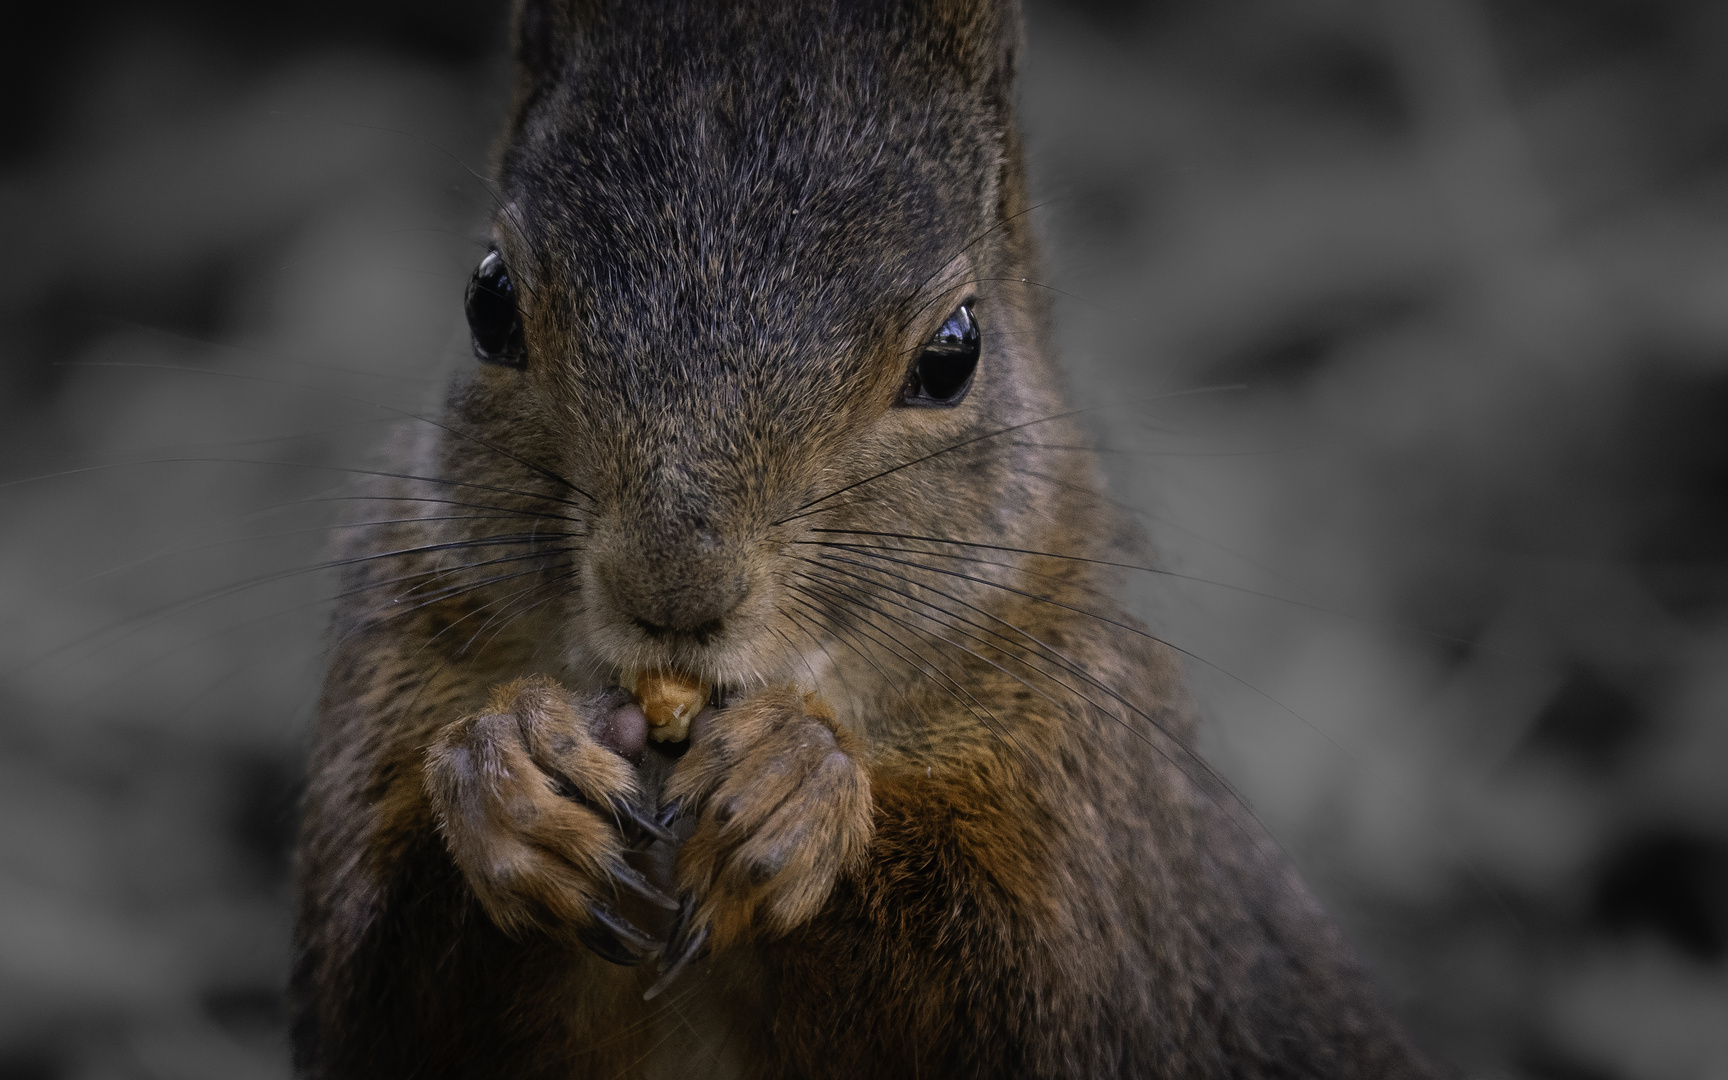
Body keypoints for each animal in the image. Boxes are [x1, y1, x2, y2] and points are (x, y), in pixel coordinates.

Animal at [290, 2, 1437, 1078]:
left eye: (952, 354)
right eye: (487, 302)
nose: (672, 589)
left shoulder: (1091, 779)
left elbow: (1018, 975)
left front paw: (800, 786)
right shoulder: (388, 653)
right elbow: (375, 981)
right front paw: (507, 776)